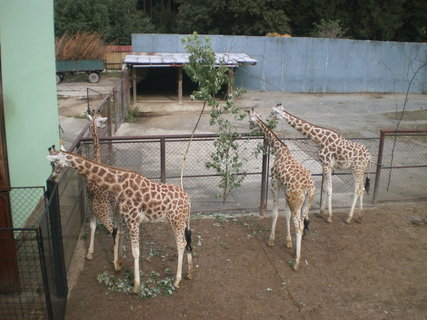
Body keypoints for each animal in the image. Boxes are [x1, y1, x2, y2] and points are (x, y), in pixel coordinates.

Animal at [47, 149, 194, 292]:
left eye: (55, 164)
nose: (51, 179)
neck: (119, 185)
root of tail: (188, 200)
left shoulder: (133, 220)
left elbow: (135, 251)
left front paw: (136, 286)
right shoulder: (123, 218)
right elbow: (119, 235)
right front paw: (119, 264)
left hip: (175, 221)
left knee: (181, 243)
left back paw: (176, 281)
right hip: (182, 221)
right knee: (187, 241)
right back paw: (189, 273)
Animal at [249, 109, 316, 270]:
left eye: (250, 119)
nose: (249, 127)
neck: (279, 149)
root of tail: (308, 188)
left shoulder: (275, 182)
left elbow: (275, 212)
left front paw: (271, 240)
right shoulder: (286, 190)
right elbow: (286, 214)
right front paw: (288, 242)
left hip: (296, 201)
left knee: (299, 226)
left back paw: (296, 262)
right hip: (306, 202)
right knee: (302, 223)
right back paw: (297, 252)